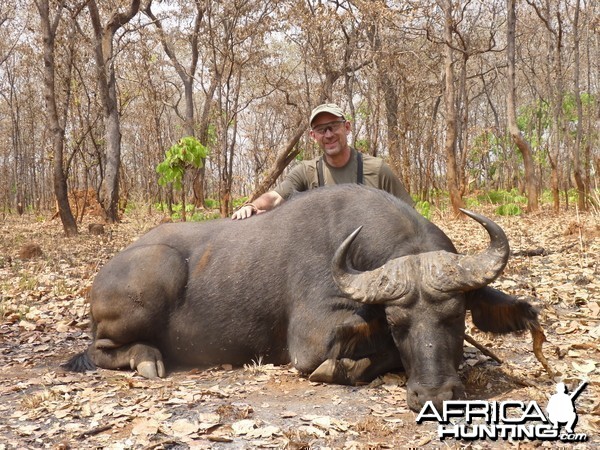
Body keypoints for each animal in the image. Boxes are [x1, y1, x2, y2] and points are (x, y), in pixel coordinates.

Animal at [65, 184, 540, 412]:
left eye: (457, 317)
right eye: (397, 323)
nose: (435, 396)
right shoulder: (310, 343)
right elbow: (361, 353)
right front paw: (339, 368)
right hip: (156, 274)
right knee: (100, 348)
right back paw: (146, 358)